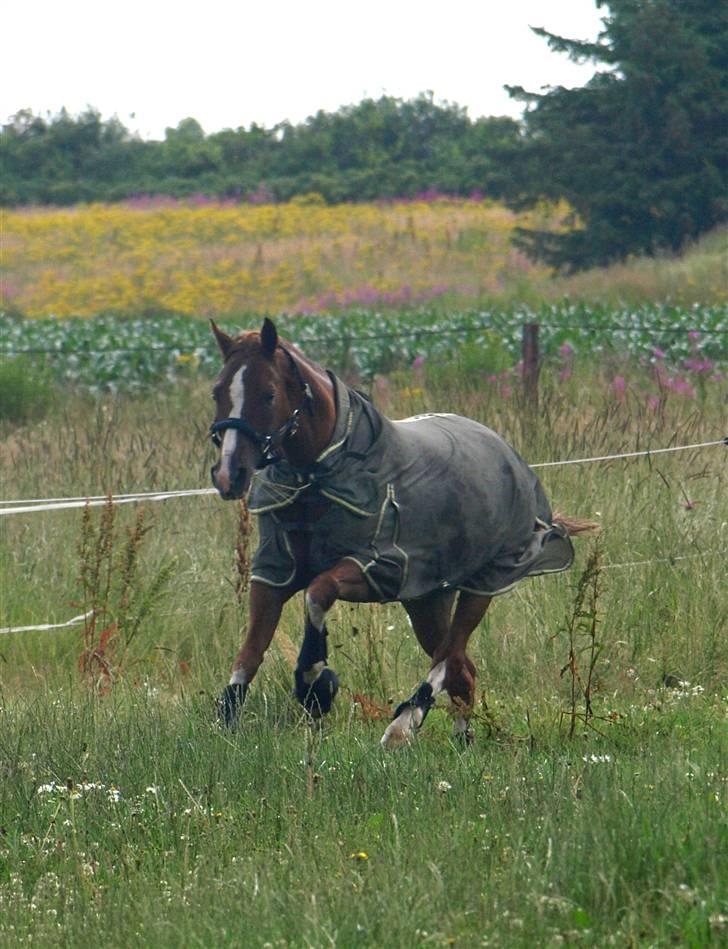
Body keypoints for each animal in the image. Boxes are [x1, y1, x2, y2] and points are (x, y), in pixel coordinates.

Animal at [209, 318, 593, 747]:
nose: (229, 475)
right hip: (427, 599)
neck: (328, 474)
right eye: (217, 391)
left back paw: (403, 725)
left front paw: (314, 684)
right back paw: (460, 738)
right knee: (463, 668)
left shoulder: (378, 568)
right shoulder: (274, 572)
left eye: (269, 393)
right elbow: (250, 652)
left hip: (484, 583)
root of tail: (508, 454)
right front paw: (226, 722)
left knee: (449, 657)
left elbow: (318, 592)